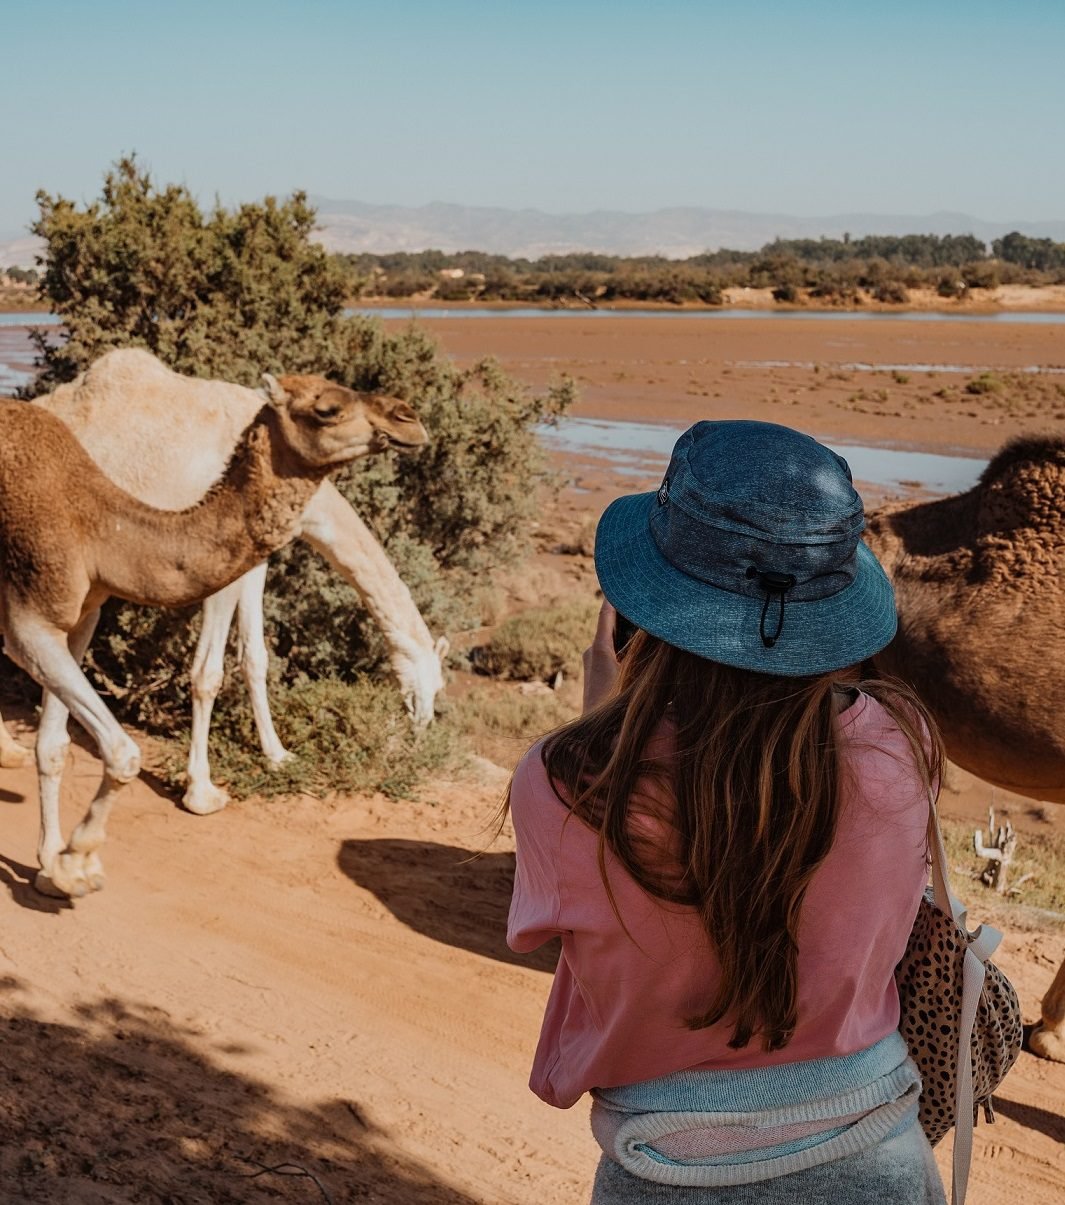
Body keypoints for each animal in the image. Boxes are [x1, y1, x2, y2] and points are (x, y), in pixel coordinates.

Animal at [1, 371, 424, 901]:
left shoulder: (78, 620)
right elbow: (129, 747)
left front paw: (50, 867)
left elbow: (54, 745)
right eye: (327, 409)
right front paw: (79, 861)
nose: (409, 418)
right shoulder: (28, 623)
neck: (98, 524)